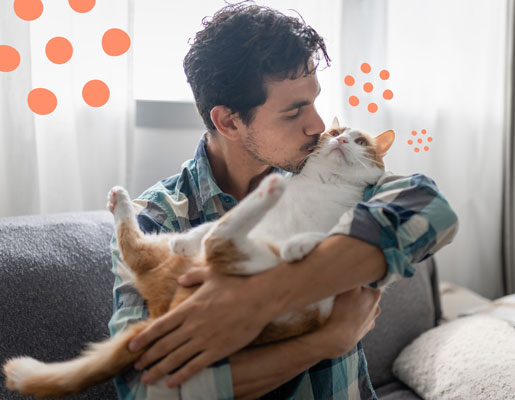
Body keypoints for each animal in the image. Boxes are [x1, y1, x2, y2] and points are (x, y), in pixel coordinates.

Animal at [2, 117, 396, 398]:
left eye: (360, 141)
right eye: (335, 132)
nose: (341, 140)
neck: (322, 185)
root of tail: (164, 313)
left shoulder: (355, 225)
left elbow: (336, 231)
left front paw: (301, 242)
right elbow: (205, 229)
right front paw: (189, 240)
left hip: (297, 298)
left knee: (215, 246)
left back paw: (268, 198)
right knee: (195, 242)